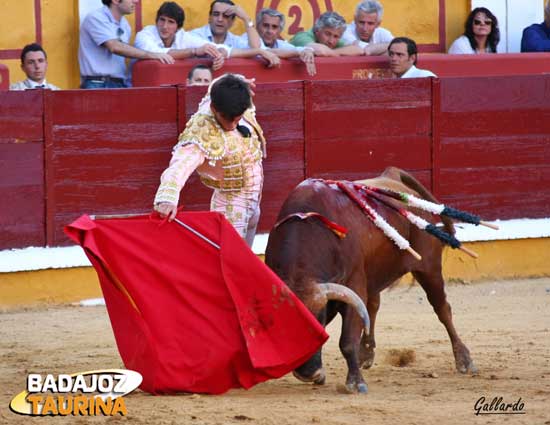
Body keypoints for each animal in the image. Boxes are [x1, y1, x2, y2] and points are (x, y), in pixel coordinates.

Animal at [264, 165, 478, 390]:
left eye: (319, 320)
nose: (306, 374)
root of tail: (392, 176)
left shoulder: (354, 284)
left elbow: (347, 339)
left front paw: (356, 382)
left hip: (429, 268)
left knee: (442, 309)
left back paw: (464, 360)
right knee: (373, 305)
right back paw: (366, 353)